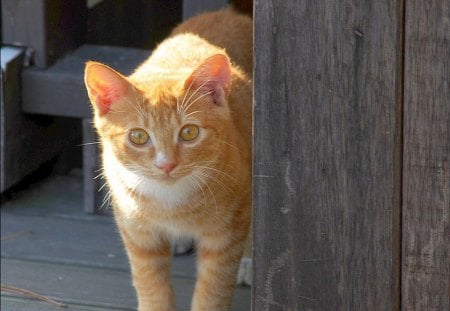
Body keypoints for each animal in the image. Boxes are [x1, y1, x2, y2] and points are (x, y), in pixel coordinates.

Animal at [83, 7, 253, 311]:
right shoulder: (138, 233)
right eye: (138, 136)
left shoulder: (226, 235)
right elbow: (151, 284)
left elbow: (213, 289)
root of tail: (225, 12)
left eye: (189, 132)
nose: (166, 164)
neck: (170, 202)